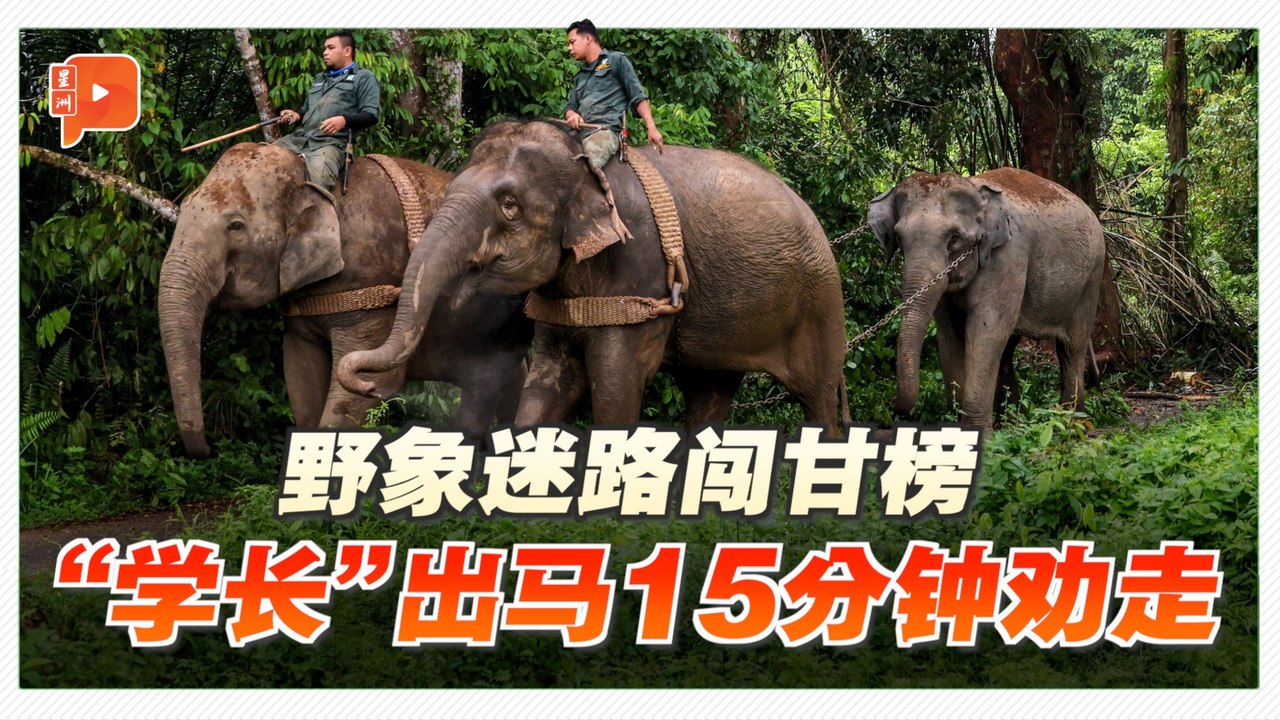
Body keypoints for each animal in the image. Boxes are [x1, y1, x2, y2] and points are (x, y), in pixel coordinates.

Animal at [159, 142, 532, 458]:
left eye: (235, 225)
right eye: (185, 207)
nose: (208, 449)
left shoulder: (374, 287)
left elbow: (368, 385)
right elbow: (301, 376)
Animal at [336, 119, 848, 431]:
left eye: (509, 206)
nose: (368, 385)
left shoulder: (640, 275)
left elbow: (615, 384)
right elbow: (548, 381)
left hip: (819, 305)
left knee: (817, 396)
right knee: (709, 390)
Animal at [868, 167, 1106, 429]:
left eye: (954, 238)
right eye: (899, 238)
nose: (889, 403)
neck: (976, 190)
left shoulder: (1007, 256)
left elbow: (986, 331)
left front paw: (980, 434)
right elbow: (950, 334)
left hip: (1092, 277)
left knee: (1071, 347)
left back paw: (1070, 423)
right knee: (1009, 348)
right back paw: (1014, 421)